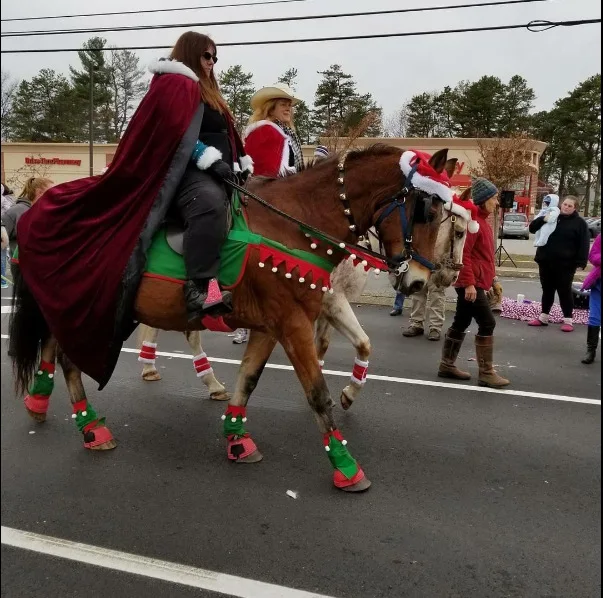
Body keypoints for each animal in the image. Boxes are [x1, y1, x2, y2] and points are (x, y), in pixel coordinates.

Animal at [11, 145, 458, 492]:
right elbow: (317, 393)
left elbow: (250, 378)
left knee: (53, 347)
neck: (294, 225)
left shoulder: (271, 326)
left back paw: (43, 403)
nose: (421, 281)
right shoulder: (293, 323)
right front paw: (346, 467)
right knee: (67, 357)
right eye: (425, 211)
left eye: (445, 215)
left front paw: (237, 440)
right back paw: (90, 428)